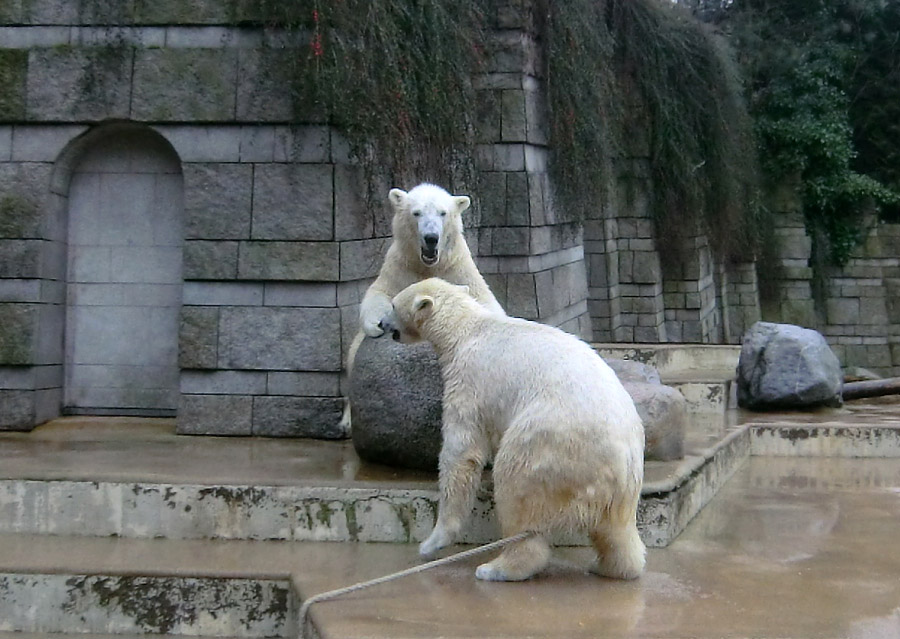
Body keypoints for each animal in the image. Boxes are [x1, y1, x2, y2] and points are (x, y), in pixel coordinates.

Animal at [340, 186, 502, 436]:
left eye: (443, 213)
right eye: (416, 213)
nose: (431, 238)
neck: (427, 265)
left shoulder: (457, 267)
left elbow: (484, 299)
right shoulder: (401, 265)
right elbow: (379, 291)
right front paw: (376, 323)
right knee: (352, 357)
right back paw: (347, 422)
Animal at [380, 278, 648, 584]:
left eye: (392, 305)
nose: (380, 324)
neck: (465, 329)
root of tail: (622, 462)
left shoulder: (468, 382)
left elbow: (461, 453)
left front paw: (432, 542)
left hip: (547, 445)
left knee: (515, 491)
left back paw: (497, 568)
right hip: (620, 489)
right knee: (617, 532)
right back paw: (610, 567)